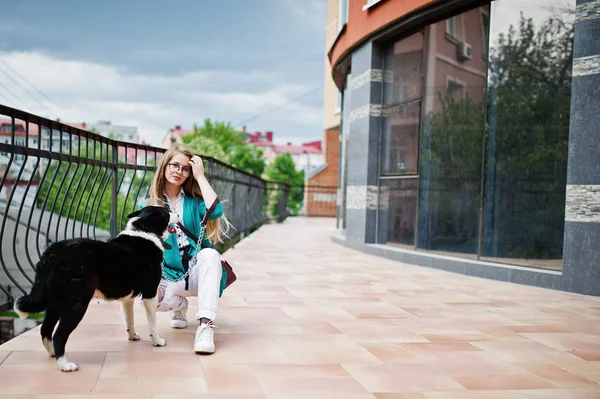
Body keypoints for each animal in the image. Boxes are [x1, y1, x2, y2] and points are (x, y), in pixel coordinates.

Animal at [14, 206, 177, 372]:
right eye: (167, 212)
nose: (177, 213)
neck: (144, 229)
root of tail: (53, 252)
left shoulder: (127, 299)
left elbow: (129, 320)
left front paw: (132, 336)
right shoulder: (150, 293)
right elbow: (153, 322)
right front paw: (157, 341)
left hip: (55, 302)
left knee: (45, 329)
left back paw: (53, 354)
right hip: (77, 303)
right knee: (59, 335)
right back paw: (65, 365)